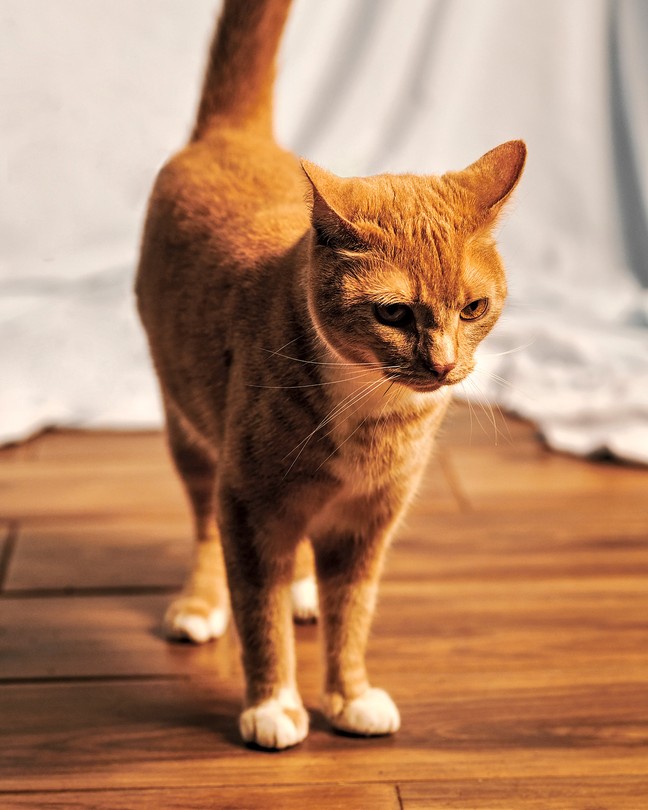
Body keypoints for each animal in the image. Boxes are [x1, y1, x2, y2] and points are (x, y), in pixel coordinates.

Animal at [137, 0, 528, 748]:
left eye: (473, 308)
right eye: (393, 312)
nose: (443, 364)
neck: (376, 414)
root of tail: (231, 135)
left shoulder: (370, 520)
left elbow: (354, 613)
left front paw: (350, 695)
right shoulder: (249, 498)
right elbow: (257, 610)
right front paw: (273, 706)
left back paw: (302, 592)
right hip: (186, 422)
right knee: (204, 524)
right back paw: (201, 603)